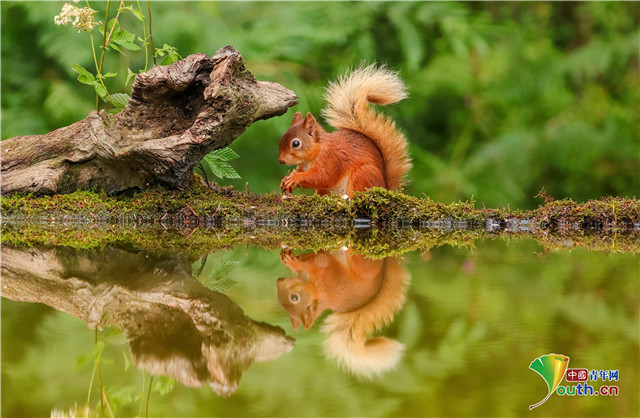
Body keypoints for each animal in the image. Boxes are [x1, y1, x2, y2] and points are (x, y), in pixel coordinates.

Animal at [276, 248, 408, 378]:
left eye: (294, 298)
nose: (279, 280)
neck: (316, 292)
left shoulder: (324, 274)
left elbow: (315, 260)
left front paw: (292, 261)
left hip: (362, 265)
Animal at [278, 64, 412, 198]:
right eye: (281, 139)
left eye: (296, 143)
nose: (281, 160)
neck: (315, 152)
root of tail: (384, 187)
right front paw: (288, 177)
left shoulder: (331, 160)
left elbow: (323, 177)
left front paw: (296, 178)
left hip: (363, 174)